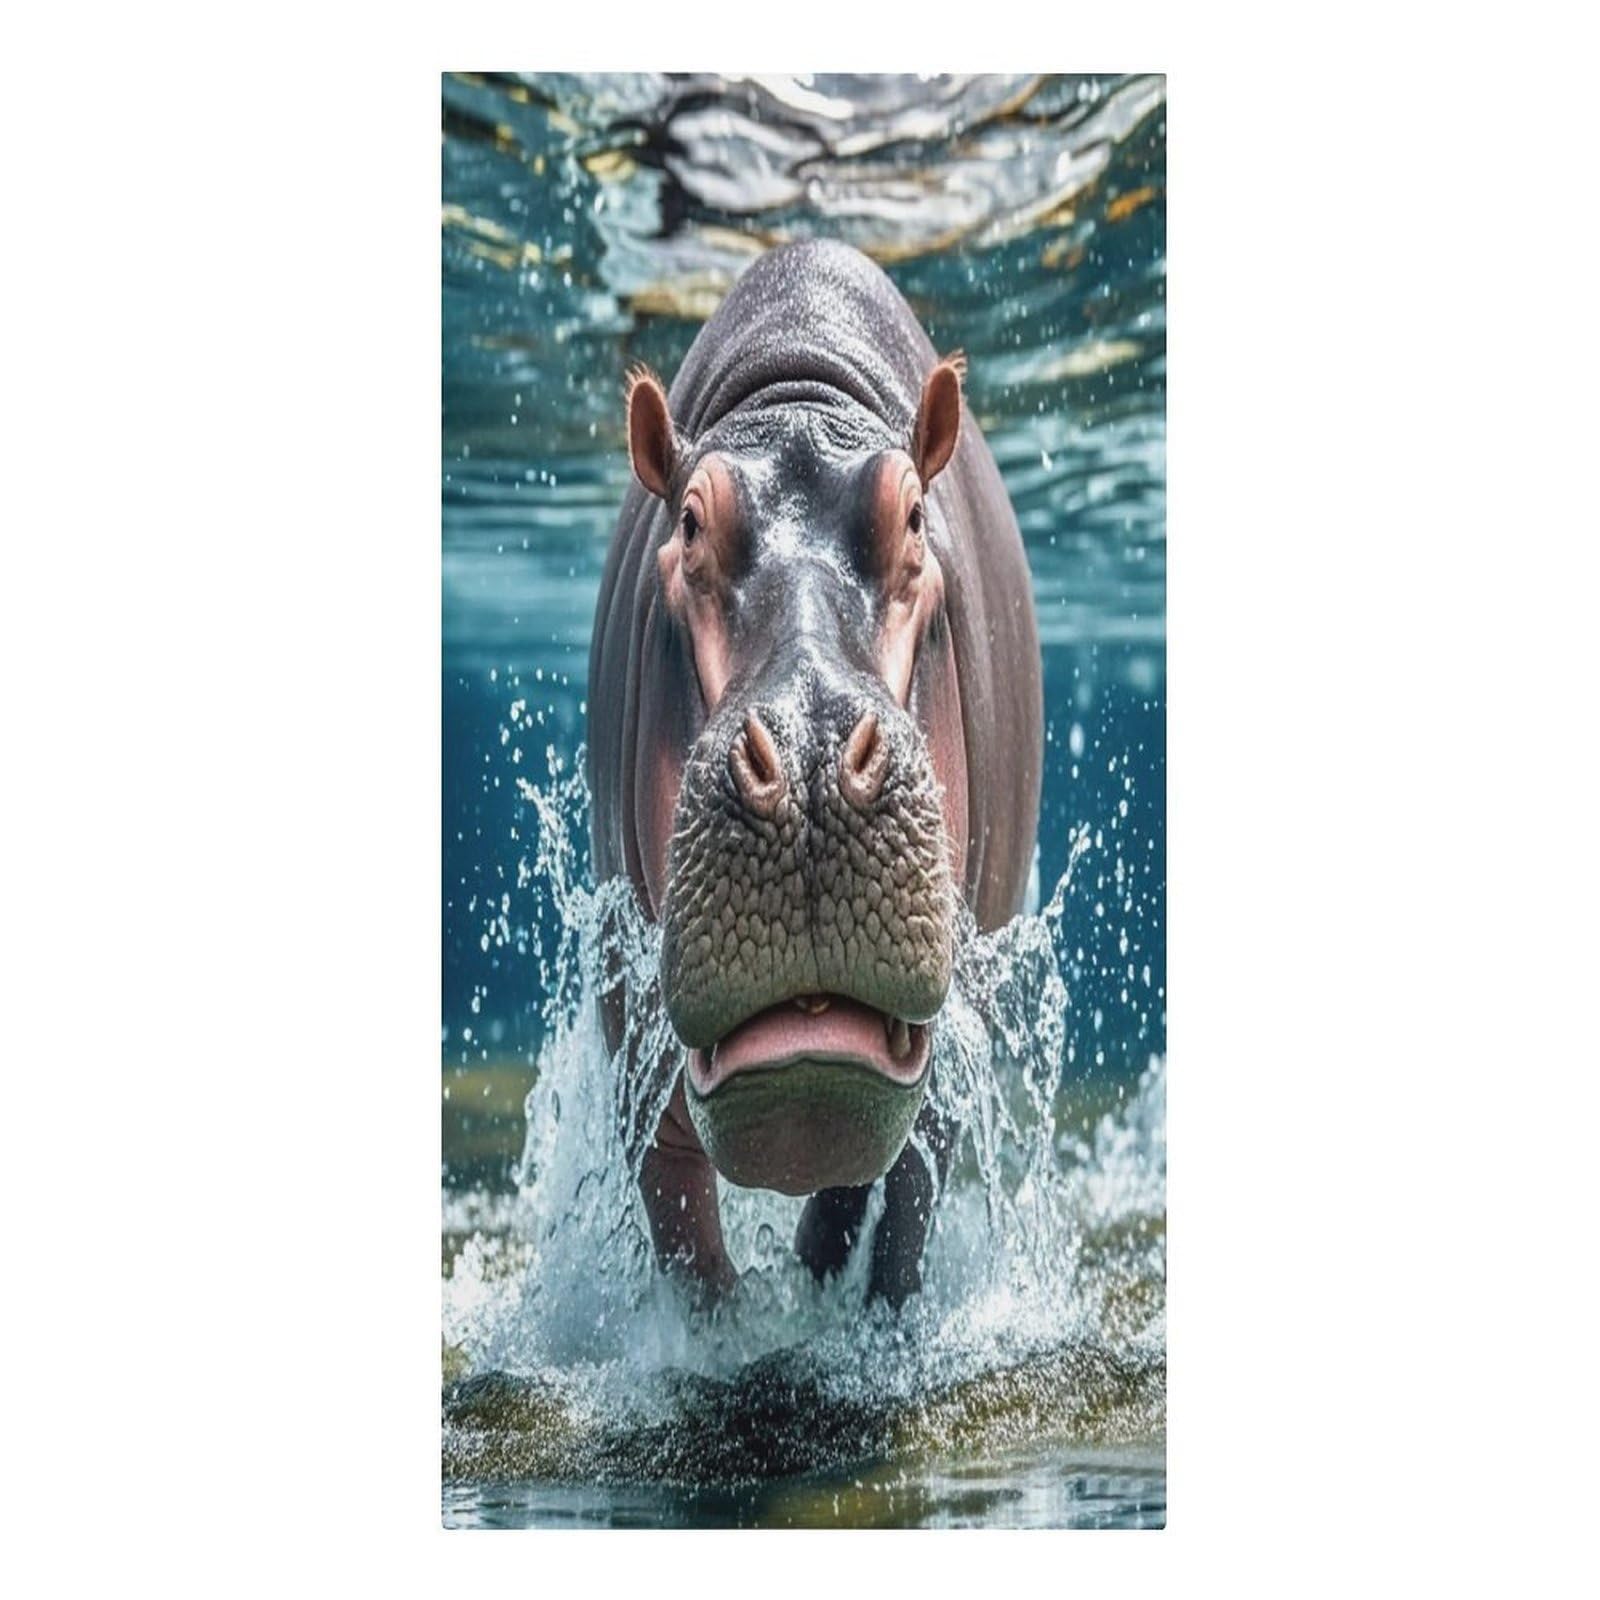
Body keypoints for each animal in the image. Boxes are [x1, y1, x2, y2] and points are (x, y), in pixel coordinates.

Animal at [587, 239, 1041, 1306]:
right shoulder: (635, 1048)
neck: (796, 394)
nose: (807, 754)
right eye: (688, 526)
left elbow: (897, 1209)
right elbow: (684, 1235)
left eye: (913, 518)